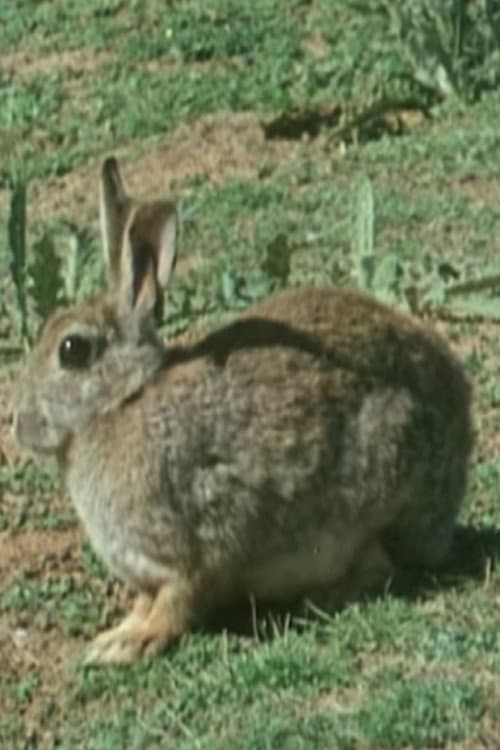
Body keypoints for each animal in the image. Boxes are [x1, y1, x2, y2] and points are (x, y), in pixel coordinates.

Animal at [12, 157, 473, 665]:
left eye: (72, 350)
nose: (19, 426)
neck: (124, 402)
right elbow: (146, 601)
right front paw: (119, 632)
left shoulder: (190, 549)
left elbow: (177, 602)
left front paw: (127, 644)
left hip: (381, 480)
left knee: (382, 567)